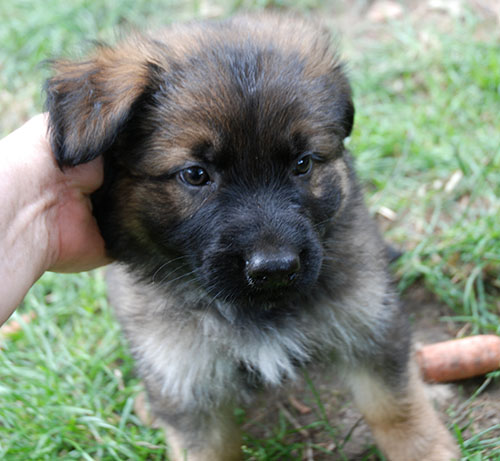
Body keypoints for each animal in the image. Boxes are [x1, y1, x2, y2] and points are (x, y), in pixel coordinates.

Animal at [45, 14, 458, 461]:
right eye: (195, 174)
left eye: (302, 163)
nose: (274, 268)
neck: (256, 309)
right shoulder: (185, 375)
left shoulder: (367, 322)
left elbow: (395, 406)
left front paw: (426, 449)